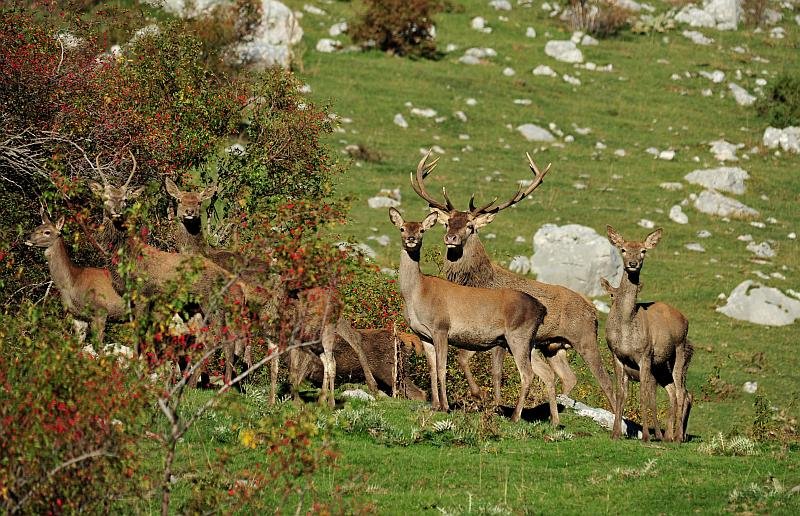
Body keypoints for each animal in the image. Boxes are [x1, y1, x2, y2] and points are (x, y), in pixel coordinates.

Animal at [25, 210, 126, 346]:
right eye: (36, 227)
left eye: (47, 232)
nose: (28, 238)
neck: (73, 282)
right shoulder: (77, 316)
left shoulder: (100, 310)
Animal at [392, 207, 560, 424]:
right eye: (402, 228)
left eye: (422, 230)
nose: (411, 239)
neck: (417, 294)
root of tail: (541, 308)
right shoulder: (423, 335)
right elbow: (432, 369)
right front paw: (435, 405)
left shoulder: (441, 328)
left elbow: (442, 368)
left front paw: (446, 406)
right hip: (528, 342)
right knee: (546, 372)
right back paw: (554, 421)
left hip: (518, 336)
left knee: (527, 373)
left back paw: (515, 416)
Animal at [412, 150, 612, 412]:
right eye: (447, 223)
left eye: (471, 226)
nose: (451, 238)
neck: (478, 282)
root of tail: (594, 311)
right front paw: (489, 401)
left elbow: (483, 366)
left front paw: (485, 398)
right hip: (553, 346)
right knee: (569, 377)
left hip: (585, 338)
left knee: (607, 382)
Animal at [604, 227, 692, 444]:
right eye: (623, 249)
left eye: (643, 251)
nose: (633, 264)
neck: (627, 322)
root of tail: (684, 318)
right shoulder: (616, 355)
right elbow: (621, 393)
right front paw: (615, 433)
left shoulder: (644, 354)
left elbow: (644, 394)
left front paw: (645, 436)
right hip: (661, 364)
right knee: (673, 391)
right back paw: (668, 436)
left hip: (679, 351)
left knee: (682, 392)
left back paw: (678, 437)